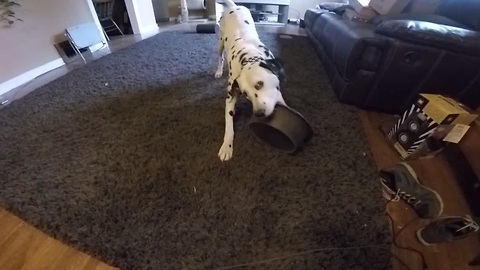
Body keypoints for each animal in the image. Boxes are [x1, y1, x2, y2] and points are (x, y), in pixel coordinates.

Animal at [216, 0, 286, 160]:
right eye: (245, 94)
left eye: (260, 84)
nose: (259, 113)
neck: (248, 55)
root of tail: (234, 6)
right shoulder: (230, 97)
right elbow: (229, 124)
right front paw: (227, 146)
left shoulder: (277, 91)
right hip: (220, 42)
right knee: (220, 57)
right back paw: (218, 71)